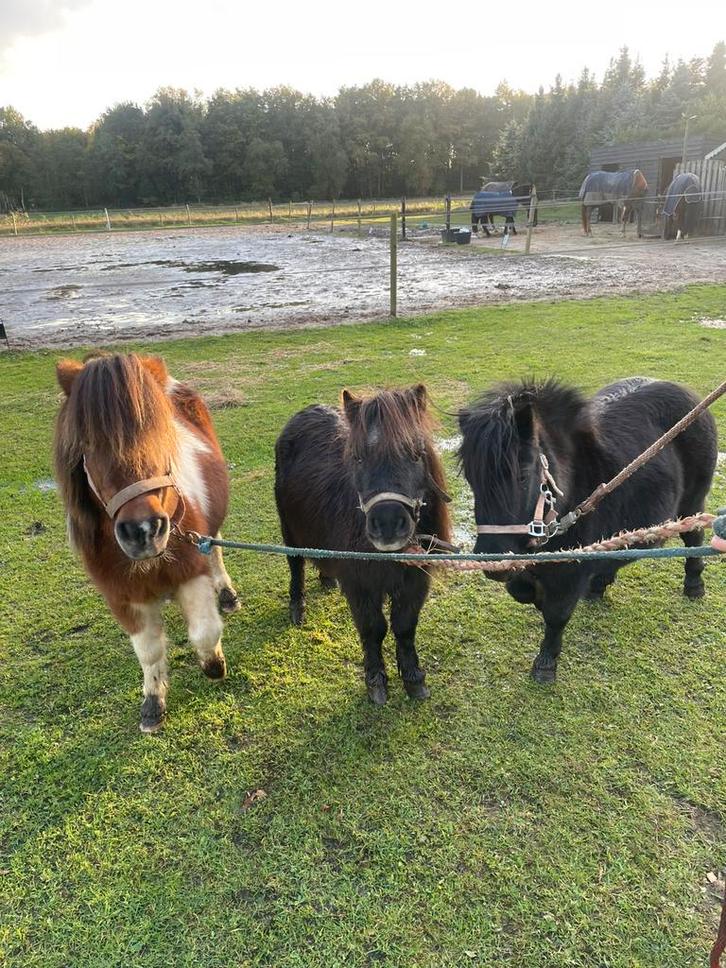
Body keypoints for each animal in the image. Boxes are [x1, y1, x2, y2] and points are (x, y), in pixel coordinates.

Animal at [54, 352, 240, 733]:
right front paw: (153, 704)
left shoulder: (190, 572)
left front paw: (215, 666)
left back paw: (227, 595)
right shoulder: (124, 595)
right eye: (87, 446)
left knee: (215, 548)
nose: (143, 530)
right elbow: (149, 650)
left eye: (158, 434)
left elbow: (204, 630)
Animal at [274, 385, 452, 705]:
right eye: (358, 458)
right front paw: (376, 682)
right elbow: (373, 628)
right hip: (288, 529)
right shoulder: (360, 584)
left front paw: (414, 679)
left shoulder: (415, 581)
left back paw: (327, 578)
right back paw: (297, 607)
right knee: (296, 565)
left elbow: (405, 626)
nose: (388, 524)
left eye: (416, 453)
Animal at [458, 377, 717, 684]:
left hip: (691, 501)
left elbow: (556, 613)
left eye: (521, 476)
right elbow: (522, 591)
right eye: (471, 479)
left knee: (692, 538)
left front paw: (546, 663)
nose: (493, 562)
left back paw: (694, 585)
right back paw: (598, 585)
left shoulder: (569, 569)